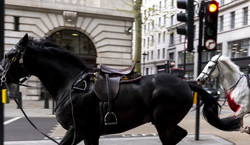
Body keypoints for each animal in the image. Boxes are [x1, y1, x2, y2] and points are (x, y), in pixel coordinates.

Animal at [0, 33, 241, 144]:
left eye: (10, 55)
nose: (1, 78)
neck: (71, 84)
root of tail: (185, 82)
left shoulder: (79, 130)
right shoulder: (89, 133)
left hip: (163, 123)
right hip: (164, 122)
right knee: (179, 134)